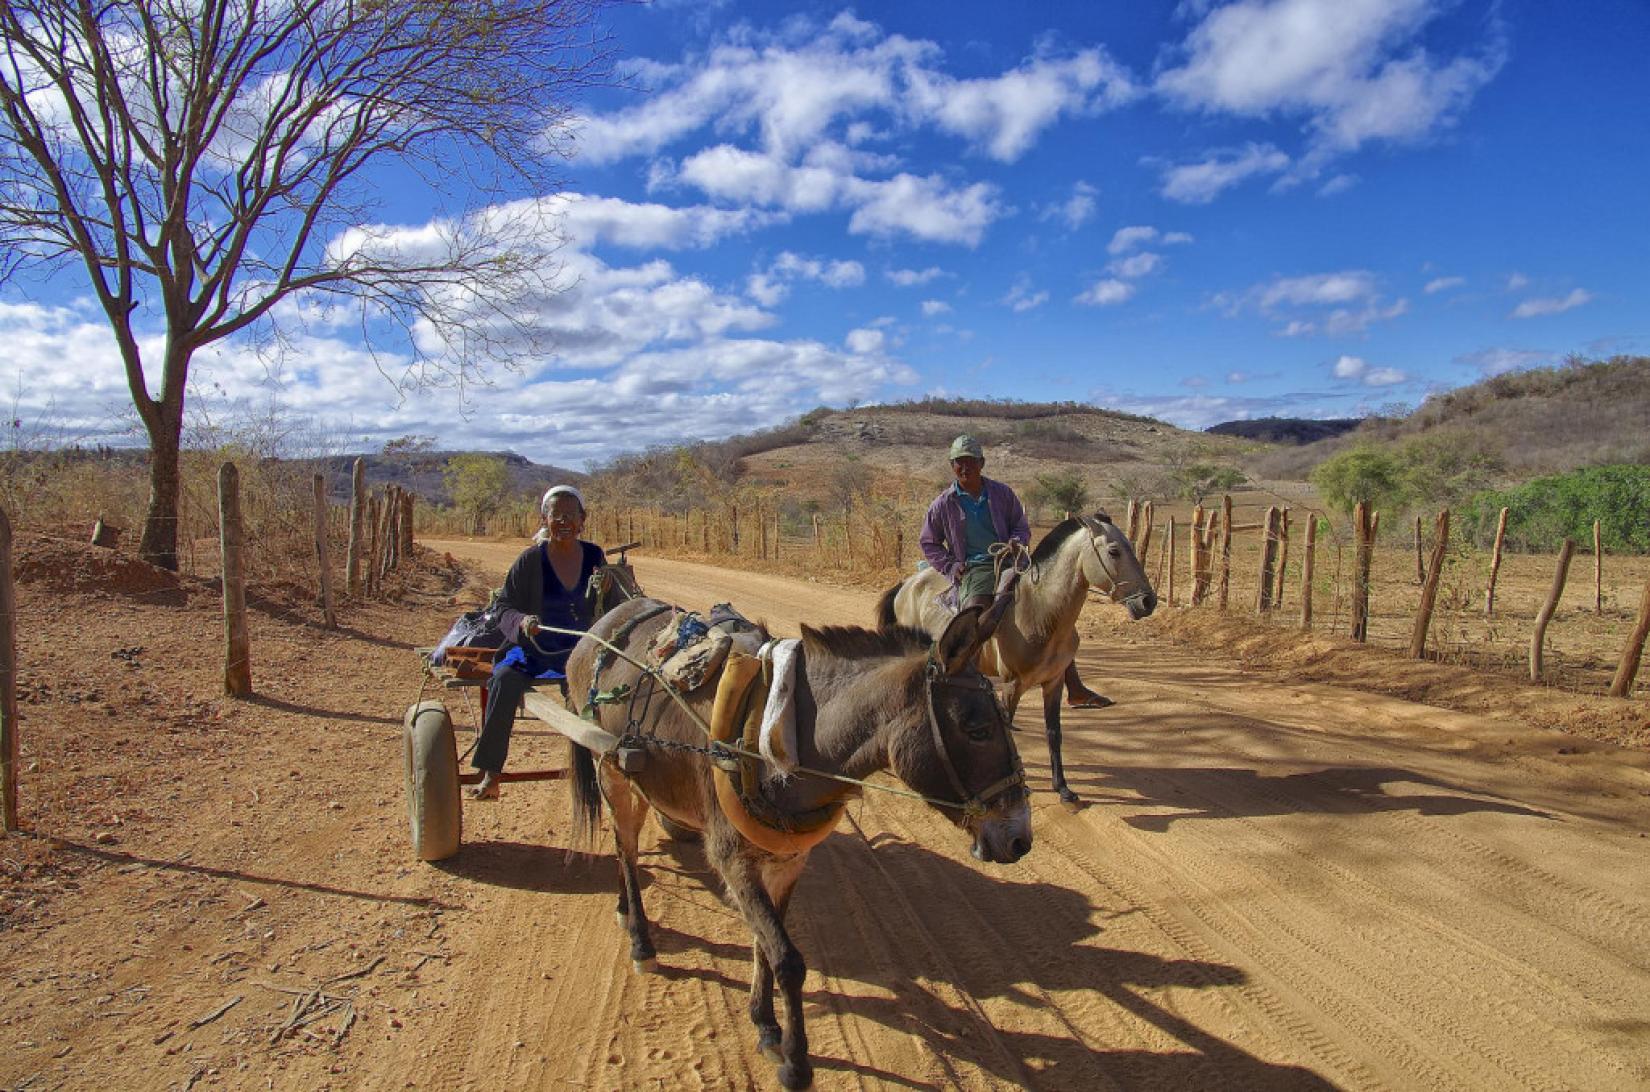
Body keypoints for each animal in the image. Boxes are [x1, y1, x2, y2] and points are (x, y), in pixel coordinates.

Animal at [567, 600, 1029, 1092]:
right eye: (977, 729)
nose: (1021, 838)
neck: (776, 735)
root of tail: (613, 614)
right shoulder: (732, 860)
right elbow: (787, 959)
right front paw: (794, 1060)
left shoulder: (787, 861)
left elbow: (764, 946)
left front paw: (766, 1024)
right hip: (612, 773)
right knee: (626, 850)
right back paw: (641, 941)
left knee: (626, 847)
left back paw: (622, 908)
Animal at [877, 511, 1161, 804]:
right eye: (1114, 551)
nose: (1148, 601)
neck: (1039, 612)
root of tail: (907, 584)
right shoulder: (1012, 685)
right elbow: (1007, 730)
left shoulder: (1054, 683)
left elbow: (1053, 733)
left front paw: (1062, 787)